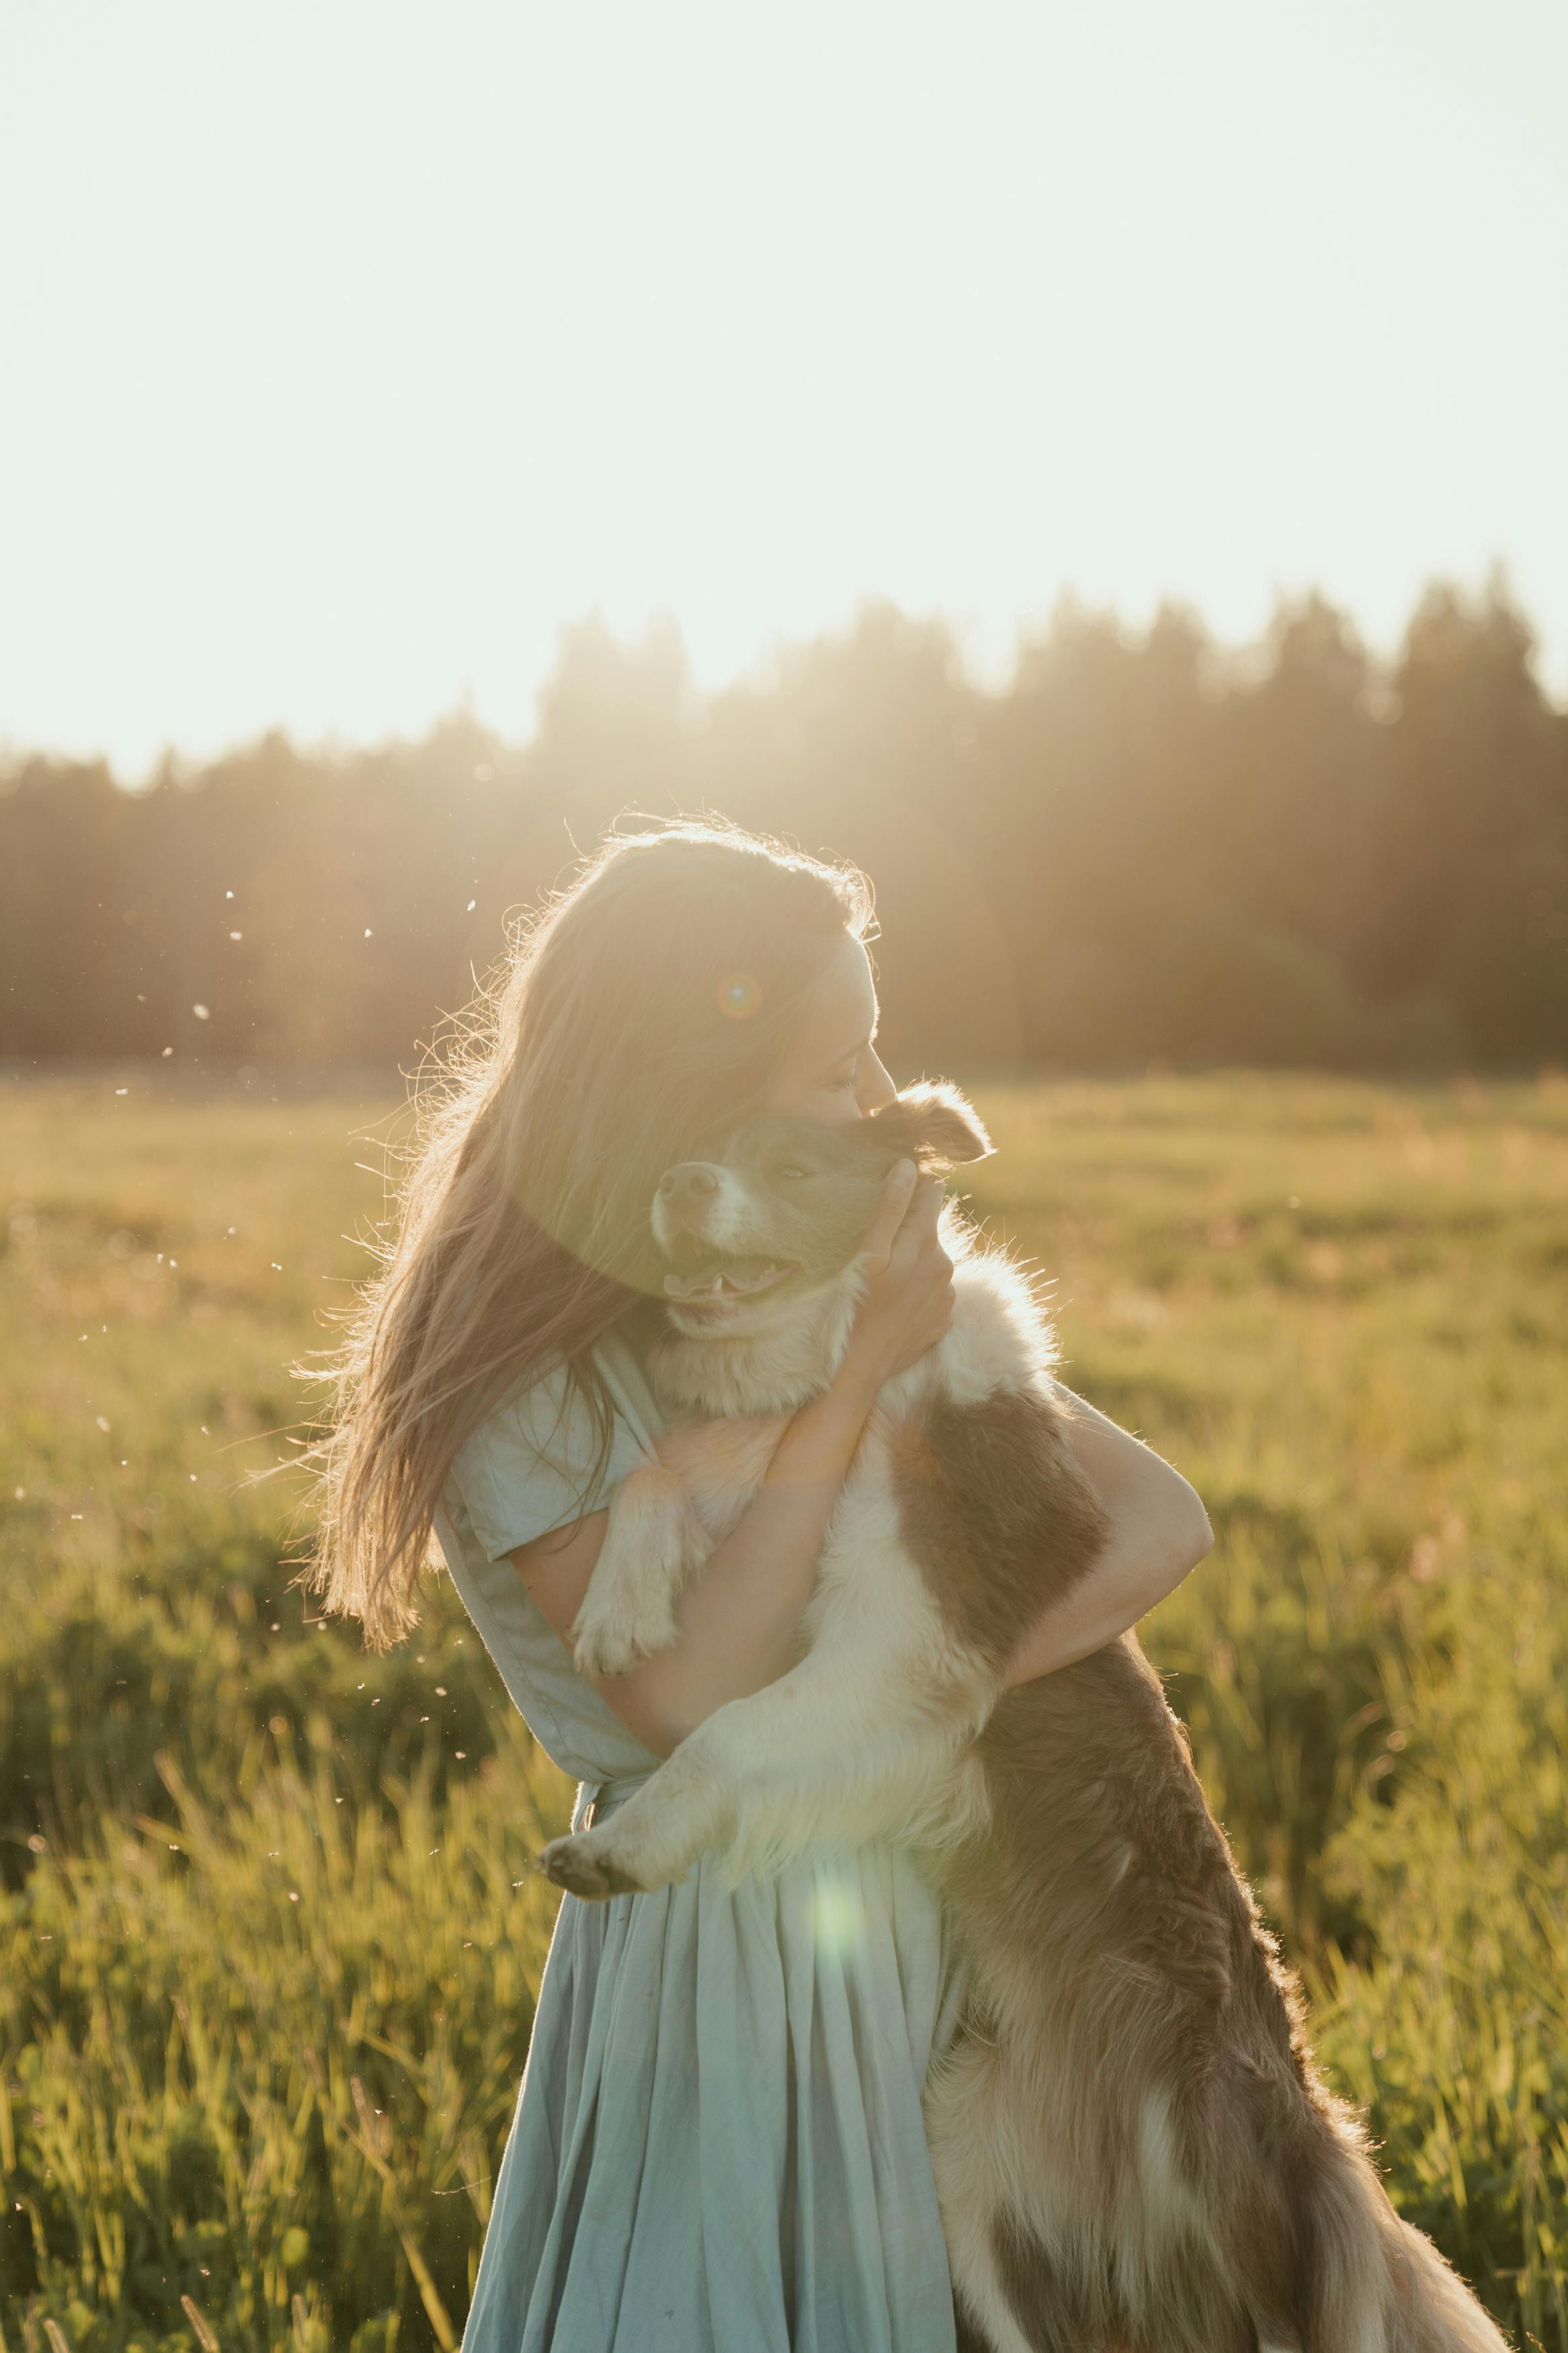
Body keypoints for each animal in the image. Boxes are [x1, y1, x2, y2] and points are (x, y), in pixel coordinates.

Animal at [540, 1082, 1504, 2353]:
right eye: (701, 1137)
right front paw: (619, 1602)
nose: (677, 1184)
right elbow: (669, 1465)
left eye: (790, 1164)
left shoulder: (910, 1640)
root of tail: (1316, 2141)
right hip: (970, 2153)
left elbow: (727, 1734)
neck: (849, 1367)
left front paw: (624, 1846)